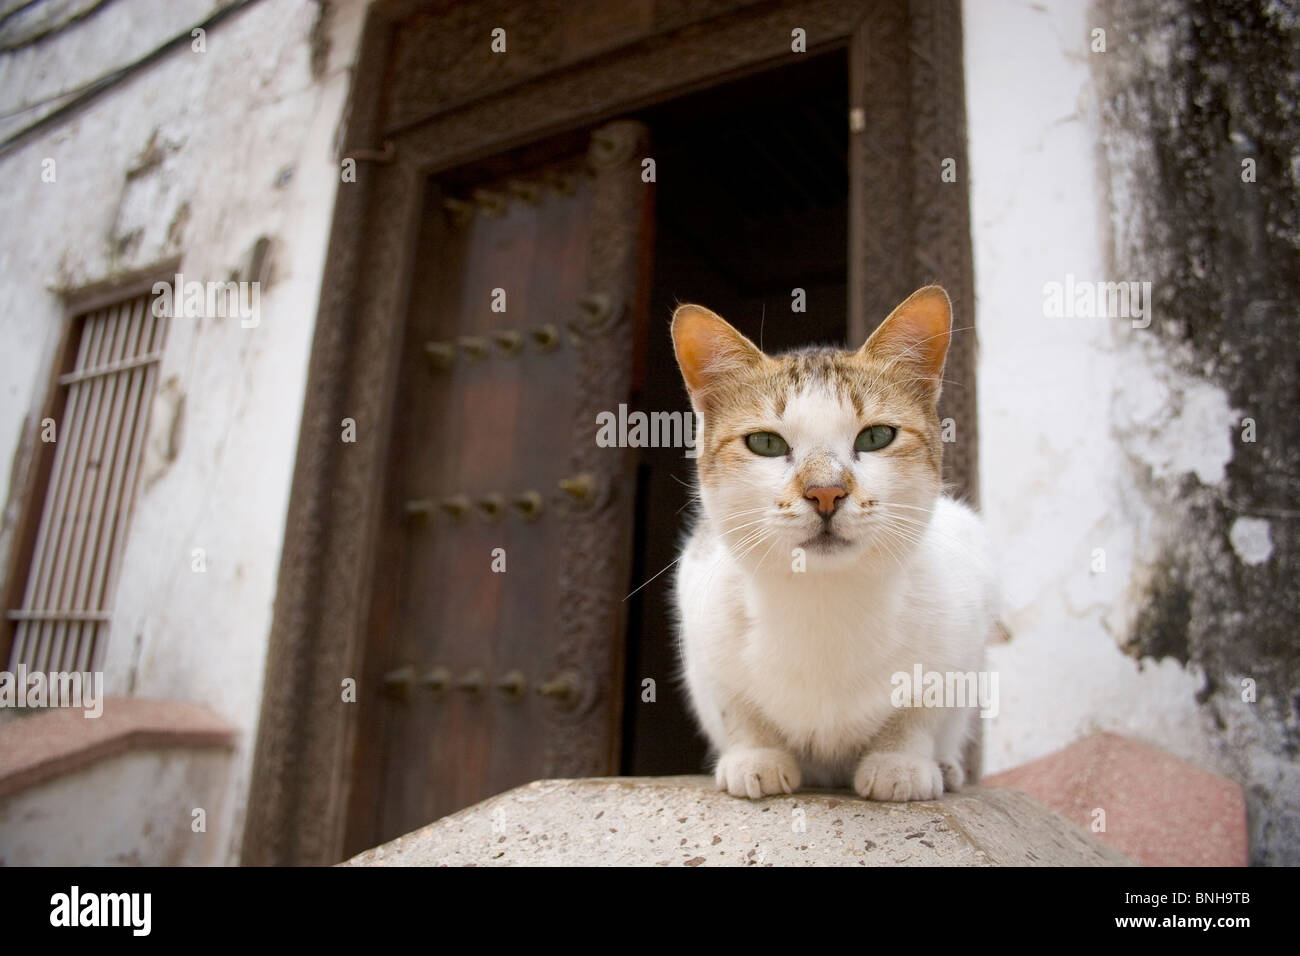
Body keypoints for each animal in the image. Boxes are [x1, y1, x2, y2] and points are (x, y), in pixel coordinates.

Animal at [670, 286, 993, 801]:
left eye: (877, 436)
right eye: (765, 443)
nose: (826, 492)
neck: (822, 599)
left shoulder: (959, 638)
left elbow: (918, 711)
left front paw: (900, 762)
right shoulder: (701, 621)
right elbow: (738, 708)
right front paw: (755, 756)